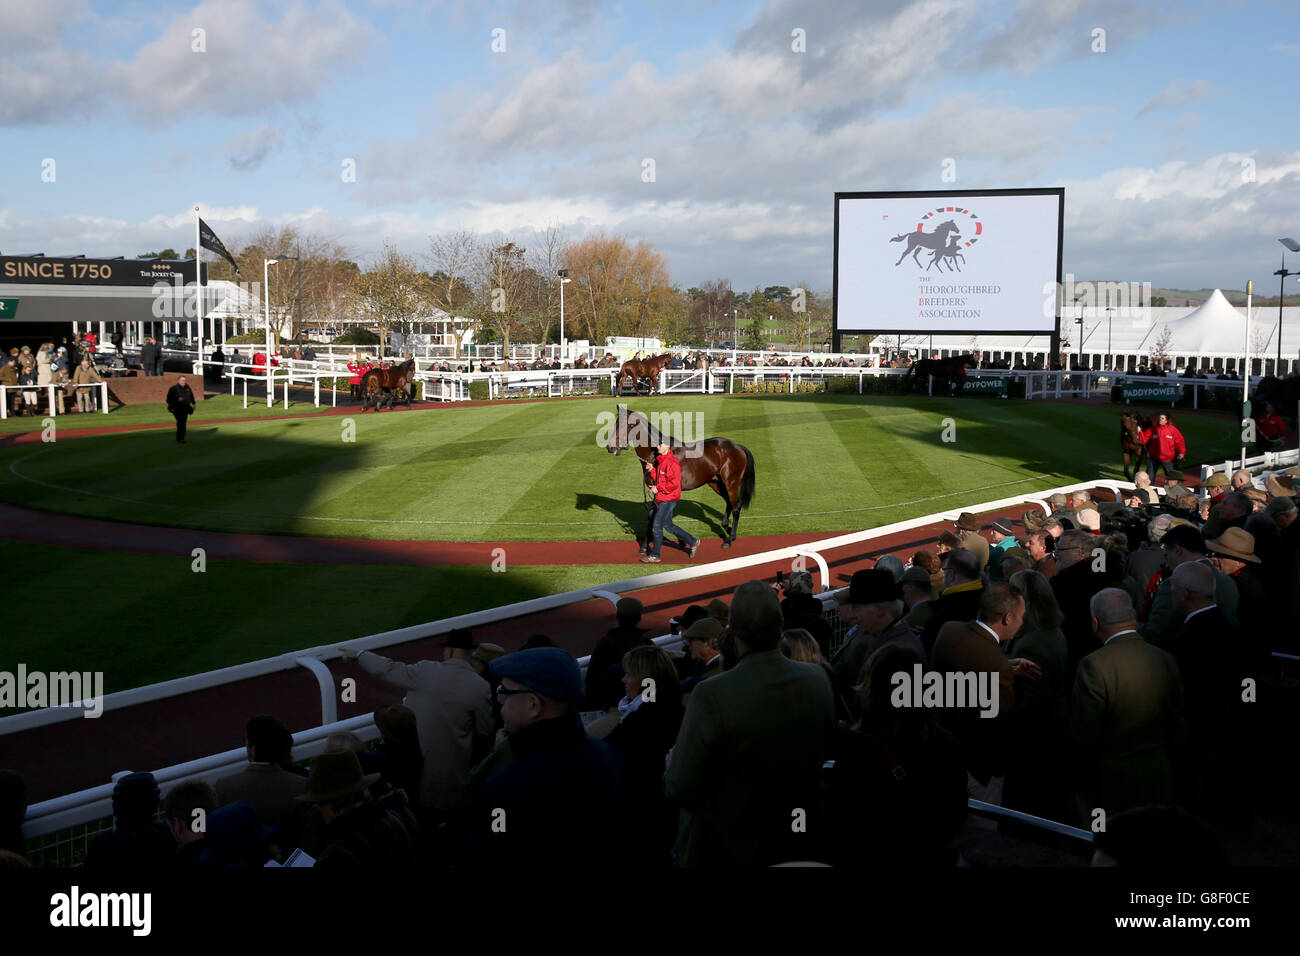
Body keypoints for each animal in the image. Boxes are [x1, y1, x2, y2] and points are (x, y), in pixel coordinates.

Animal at [605, 403, 759, 548]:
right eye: (615, 424)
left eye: (625, 425)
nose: (610, 447)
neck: (656, 454)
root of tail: (738, 446)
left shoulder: (659, 492)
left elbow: (653, 516)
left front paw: (645, 546)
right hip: (716, 482)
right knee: (729, 502)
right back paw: (726, 527)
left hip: (731, 482)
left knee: (736, 507)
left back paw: (730, 539)